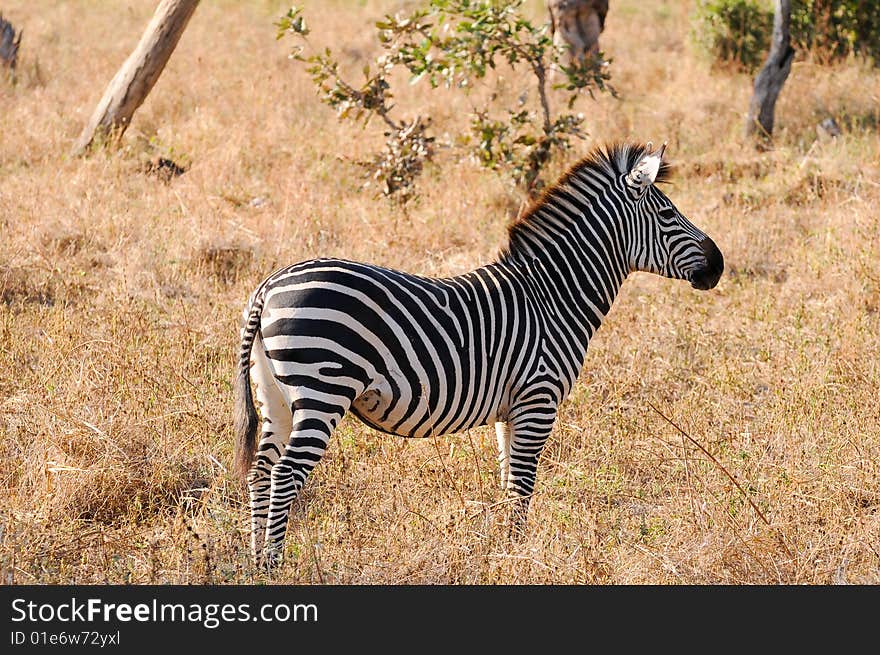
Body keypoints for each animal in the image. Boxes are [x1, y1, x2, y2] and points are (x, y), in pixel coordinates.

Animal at [232, 140, 720, 568]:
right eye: (668, 213)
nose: (719, 266)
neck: (553, 296)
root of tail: (270, 285)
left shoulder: (513, 410)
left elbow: (508, 482)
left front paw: (505, 551)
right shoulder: (539, 400)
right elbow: (523, 485)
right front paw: (517, 556)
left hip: (274, 393)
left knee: (260, 471)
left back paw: (255, 562)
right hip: (322, 388)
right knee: (285, 474)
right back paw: (274, 563)